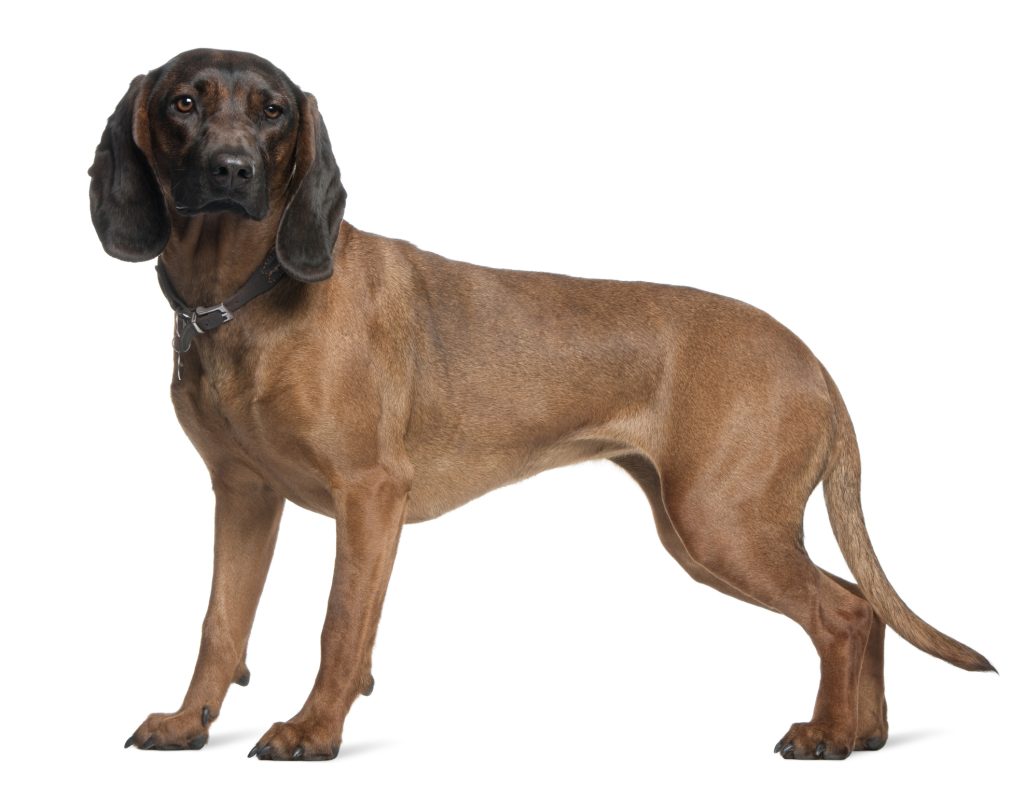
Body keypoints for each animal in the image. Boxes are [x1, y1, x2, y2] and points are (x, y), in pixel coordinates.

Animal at [90, 49, 991, 761]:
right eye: (183, 102)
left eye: (272, 111)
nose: (232, 170)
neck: (245, 297)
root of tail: (815, 363)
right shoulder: (244, 496)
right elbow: (220, 623)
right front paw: (189, 721)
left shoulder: (370, 496)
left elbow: (341, 625)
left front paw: (314, 729)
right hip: (712, 529)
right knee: (863, 608)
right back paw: (865, 729)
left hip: (721, 522)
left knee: (841, 612)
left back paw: (826, 732)